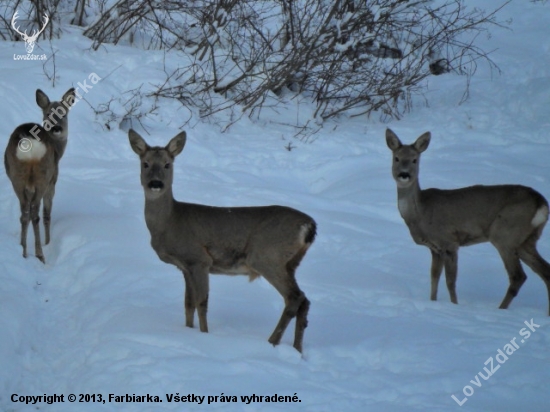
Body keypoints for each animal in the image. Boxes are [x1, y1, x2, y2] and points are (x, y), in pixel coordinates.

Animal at [4, 88, 76, 262]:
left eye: (64, 114)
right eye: (49, 113)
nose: (57, 128)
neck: (58, 150)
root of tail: (29, 142)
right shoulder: (52, 182)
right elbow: (47, 214)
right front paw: (48, 242)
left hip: (17, 176)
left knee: (24, 214)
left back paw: (23, 251)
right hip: (43, 175)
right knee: (36, 214)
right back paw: (40, 254)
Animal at [129, 130, 316, 352]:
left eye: (167, 164)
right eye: (145, 163)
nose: (156, 184)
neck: (170, 222)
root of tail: (309, 226)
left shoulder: (199, 259)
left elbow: (201, 303)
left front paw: (204, 335)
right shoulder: (185, 267)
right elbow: (188, 303)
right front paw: (187, 332)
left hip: (267, 257)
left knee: (294, 297)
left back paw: (272, 342)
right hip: (290, 263)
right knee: (305, 300)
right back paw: (297, 349)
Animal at [386, 130, 550, 316]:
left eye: (415, 159)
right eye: (397, 158)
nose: (404, 174)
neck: (420, 214)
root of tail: (541, 203)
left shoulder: (449, 241)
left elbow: (450, 281)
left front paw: (454, 306)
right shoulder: (435, 248)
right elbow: (434, 277)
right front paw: (432, 302)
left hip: (505, 233)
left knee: (518, 276)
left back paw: (500, 310)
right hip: (526, 240)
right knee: (545, 271)